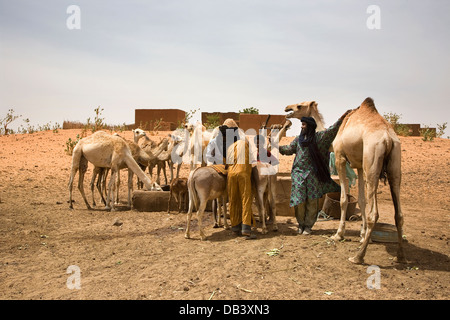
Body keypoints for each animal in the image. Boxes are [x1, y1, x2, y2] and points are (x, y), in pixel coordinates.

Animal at [284, 99, 406, 264]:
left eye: (299, 106)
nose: (287, 109)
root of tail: (388, 138)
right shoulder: (359, 165)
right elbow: (361, 200)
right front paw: (362, 235)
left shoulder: (340, 158)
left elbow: (343, 199)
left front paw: (339, 234)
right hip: (394, 164)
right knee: (398, 213)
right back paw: (400, 256)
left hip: (372, 163)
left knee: (374, 213)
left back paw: (358, 256)